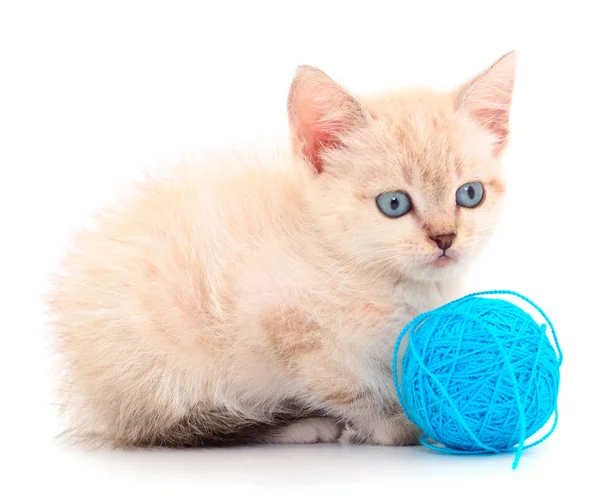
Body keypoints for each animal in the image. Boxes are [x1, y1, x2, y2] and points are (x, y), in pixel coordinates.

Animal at [48, 52, 516, 448]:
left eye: (469, 194)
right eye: (394, 204)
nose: (445, 238)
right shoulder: (285, 321)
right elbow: (353, 389)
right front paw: (401, 425)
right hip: (157, 361)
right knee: (181, 427)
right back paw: (299, 424)